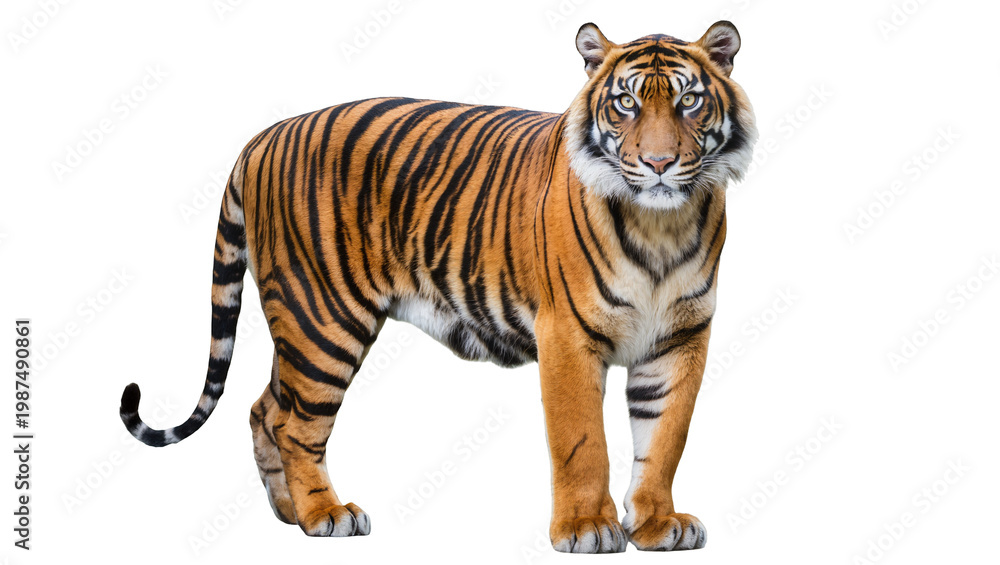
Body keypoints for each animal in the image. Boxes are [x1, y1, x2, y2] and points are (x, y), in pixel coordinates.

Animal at [119, 20, 756, 553]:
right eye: (625, 103)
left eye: (689, 100)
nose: (658, 163)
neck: (661, 226)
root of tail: (265, 135)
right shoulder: (568, 337)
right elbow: (582, 443)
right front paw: (586, 529)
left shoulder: (680, 340)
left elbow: (664, 440)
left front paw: (655, 526)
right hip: (323, 319)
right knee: (294, 423)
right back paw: (325, 515)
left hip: (300, 325)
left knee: (264, 408)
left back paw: (288, 513)